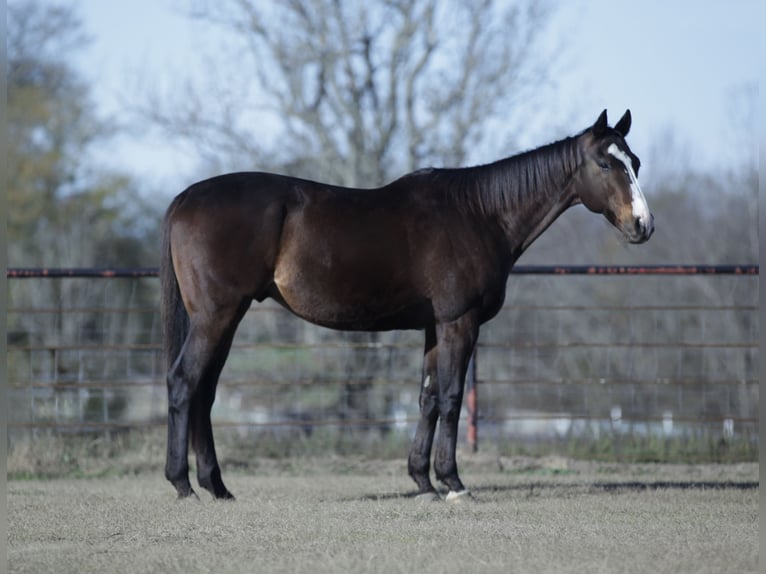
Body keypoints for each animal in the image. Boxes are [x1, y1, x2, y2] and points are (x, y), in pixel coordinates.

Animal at [161, 109, 654, 501]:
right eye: (605, 162)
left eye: (635, 162)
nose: (643, 225)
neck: (479, 214)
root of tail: (185, 197)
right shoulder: (459, 321)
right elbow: (452, 397)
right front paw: (453, 483)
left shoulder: (435, 326)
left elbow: (428, 397)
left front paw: (423, 481)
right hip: (217, 315)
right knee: (185, 382)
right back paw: (183, 484)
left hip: (225, 317)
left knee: (204, 391)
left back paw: (217, 486)